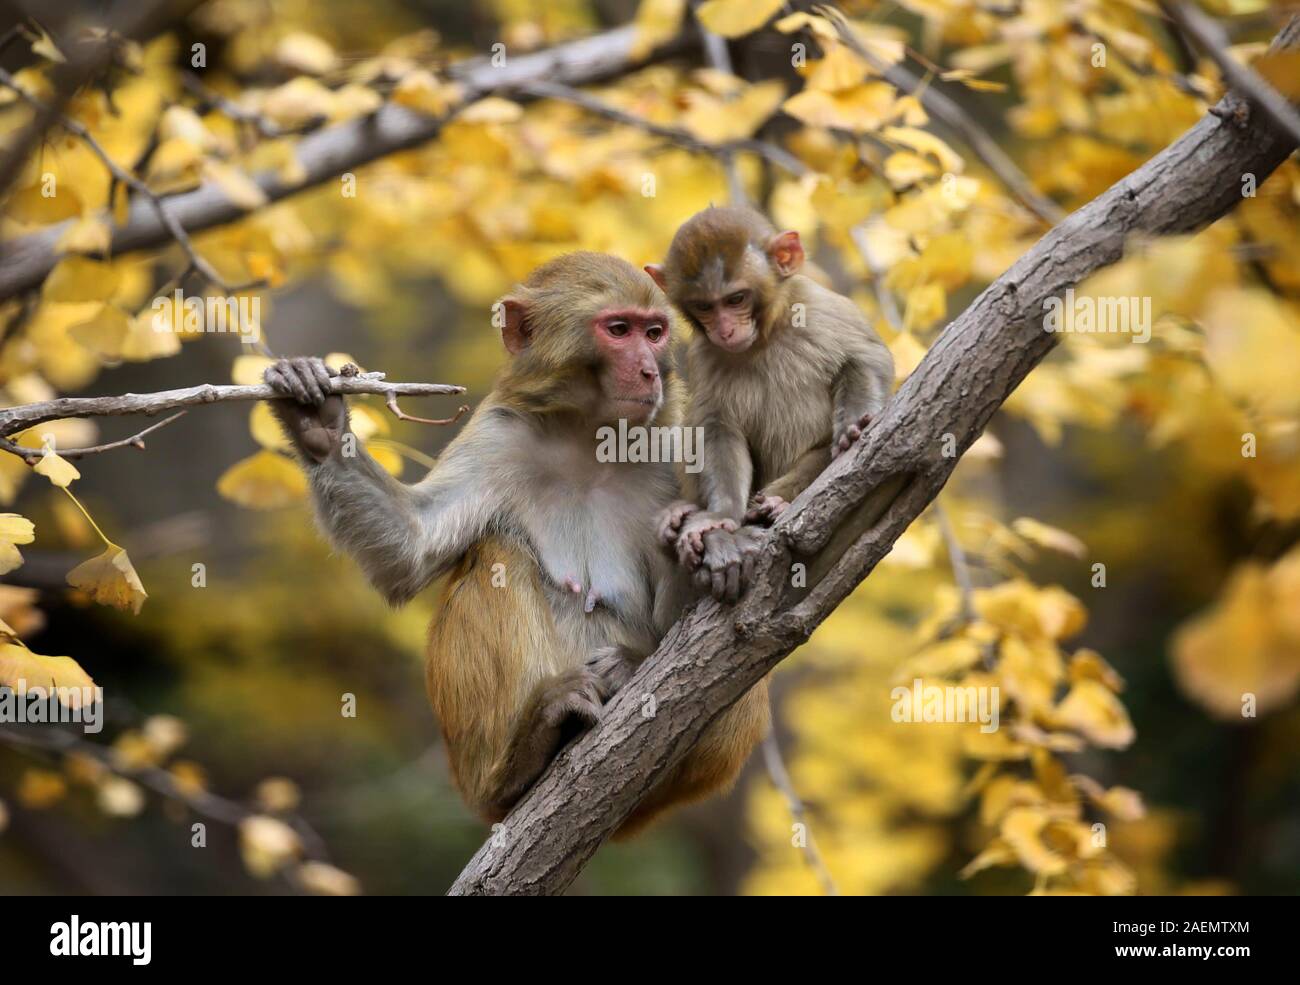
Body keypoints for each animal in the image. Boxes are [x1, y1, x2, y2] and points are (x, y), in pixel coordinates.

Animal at [265, 252, 769, 831]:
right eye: (619, 330)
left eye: (655, 332)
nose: (647, 370)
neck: (589, 439)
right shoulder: (500, 432)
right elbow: (411, 550)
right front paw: (317, 423)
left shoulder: (680, 435)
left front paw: (719, 551)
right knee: (497, 553)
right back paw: (523, 757)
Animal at [642, 206, 889, 602]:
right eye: (704, 306)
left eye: (736, 299)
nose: (725, 330)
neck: (765, 336)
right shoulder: (703, 355)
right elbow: (715, 427)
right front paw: (721, 514)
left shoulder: (819, 307)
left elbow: (865, 358)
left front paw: (854, 424)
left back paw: (777, 503)